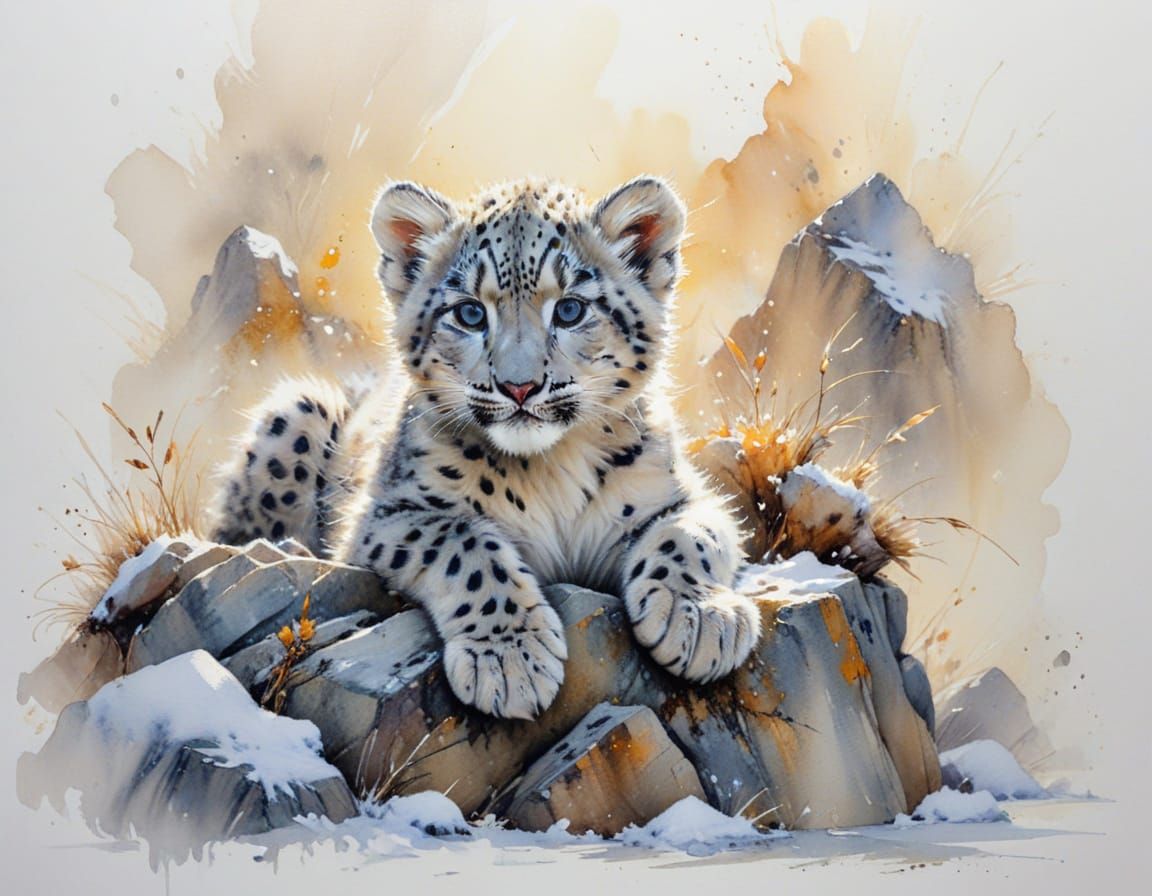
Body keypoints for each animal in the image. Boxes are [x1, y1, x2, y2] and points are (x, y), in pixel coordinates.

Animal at [209, 176, 761, 720]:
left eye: (570, 309)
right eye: (471, 314)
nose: (519, 387)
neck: (549, 469)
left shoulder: (674, 495)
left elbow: (689, 534)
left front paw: (700, 618)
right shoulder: (387, 515)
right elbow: (463, 544)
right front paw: (510, 660)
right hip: (301, 407)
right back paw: (280, 547)